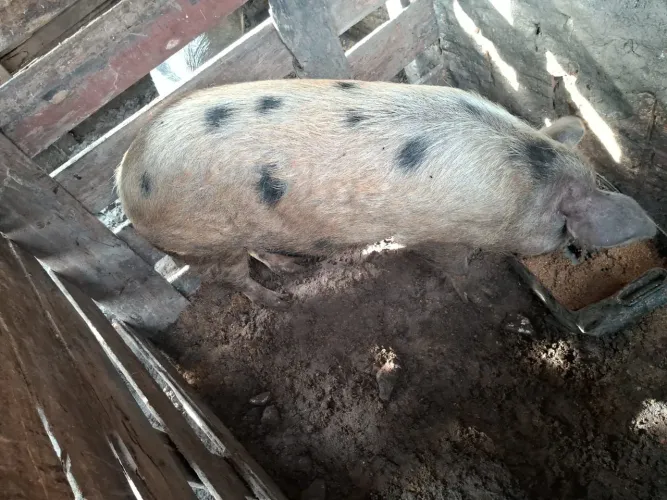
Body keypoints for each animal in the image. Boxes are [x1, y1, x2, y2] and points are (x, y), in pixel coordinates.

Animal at [116, 79, 656, 308]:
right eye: (568, 231)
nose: (578, 256)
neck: (527, 181)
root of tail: (125, 177)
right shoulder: (438, 234)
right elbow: (454, 266)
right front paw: (482, 296)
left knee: (259, 250)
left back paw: (292, 269)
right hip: (204, 242)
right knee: (232, 279)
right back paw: (280, 301)